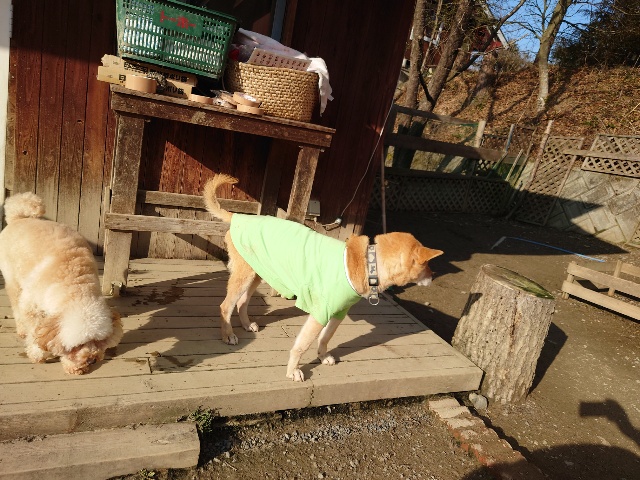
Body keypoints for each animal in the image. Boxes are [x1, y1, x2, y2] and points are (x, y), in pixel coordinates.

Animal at [0, 192, 123, 374]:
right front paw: (38, 354)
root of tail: (19, 218)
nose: (92, 359)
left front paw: (73, 366)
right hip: (13, 280)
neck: (75, 284)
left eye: (97, 340)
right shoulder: (31, 306)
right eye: (77, 345)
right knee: (16, 305)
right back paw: (21, 330)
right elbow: (35, 332)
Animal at [203, 174, 443, 382]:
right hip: (245, 275)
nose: (434, 276)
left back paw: (246, 325)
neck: (368, 264)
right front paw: (293, 371)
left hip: (257, 274)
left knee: (242, 302)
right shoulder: (319, 314)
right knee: (226, 306)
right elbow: (301, 346)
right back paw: (228, 335)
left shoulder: (338, 313)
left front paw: (322, 356)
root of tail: (238, 217)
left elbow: (326, 338)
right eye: (427, 265)